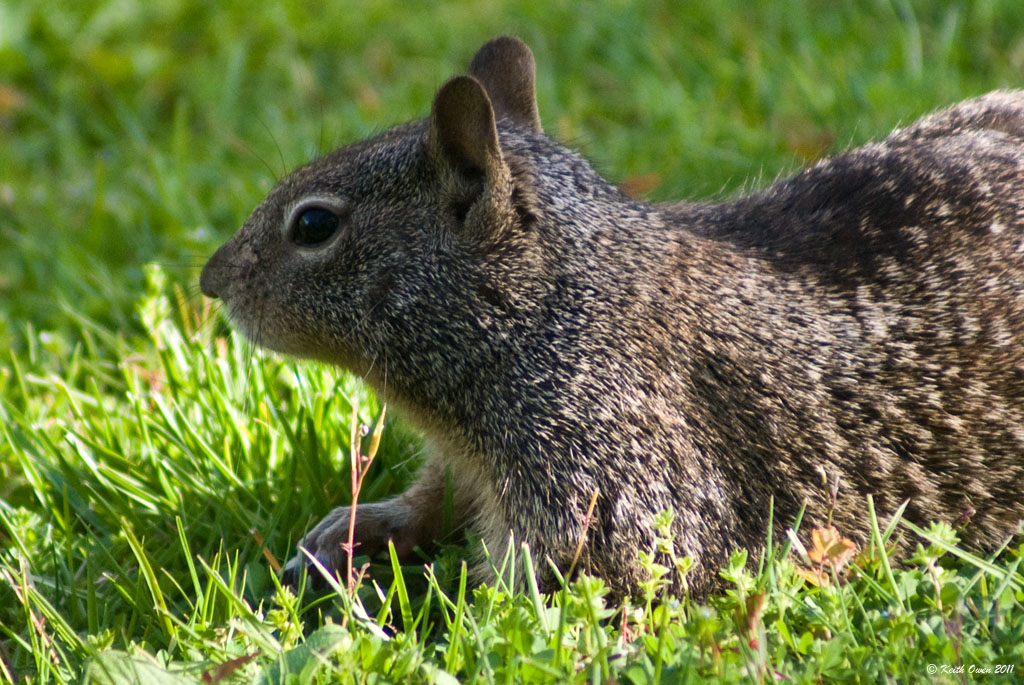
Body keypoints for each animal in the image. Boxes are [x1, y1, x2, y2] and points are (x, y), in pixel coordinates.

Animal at [200, 36, 1024, 597]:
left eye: (314, 225)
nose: (211, 282)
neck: (559, 304)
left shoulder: (611, 483)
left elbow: (538, 589)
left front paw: (393, 602)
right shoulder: (470, 464)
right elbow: (434, 503)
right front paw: (351, 531)